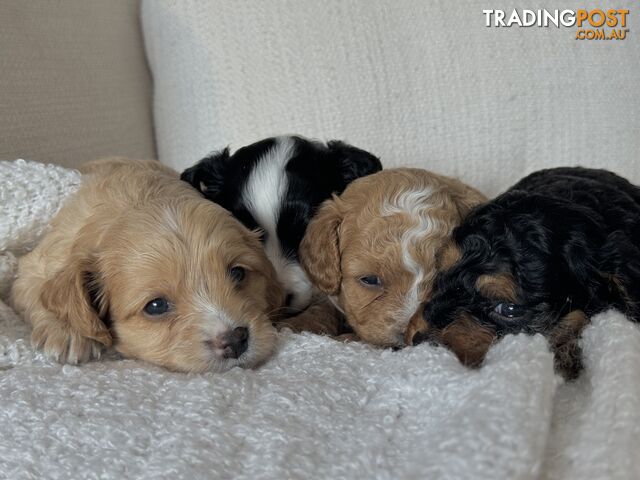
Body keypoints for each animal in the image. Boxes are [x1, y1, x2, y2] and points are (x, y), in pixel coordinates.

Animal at [9, 159, 284, 374]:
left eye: (238, 273)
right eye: (156, 306)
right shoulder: (35, 265)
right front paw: (68, 332)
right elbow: (36, 291)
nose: (235, 340)